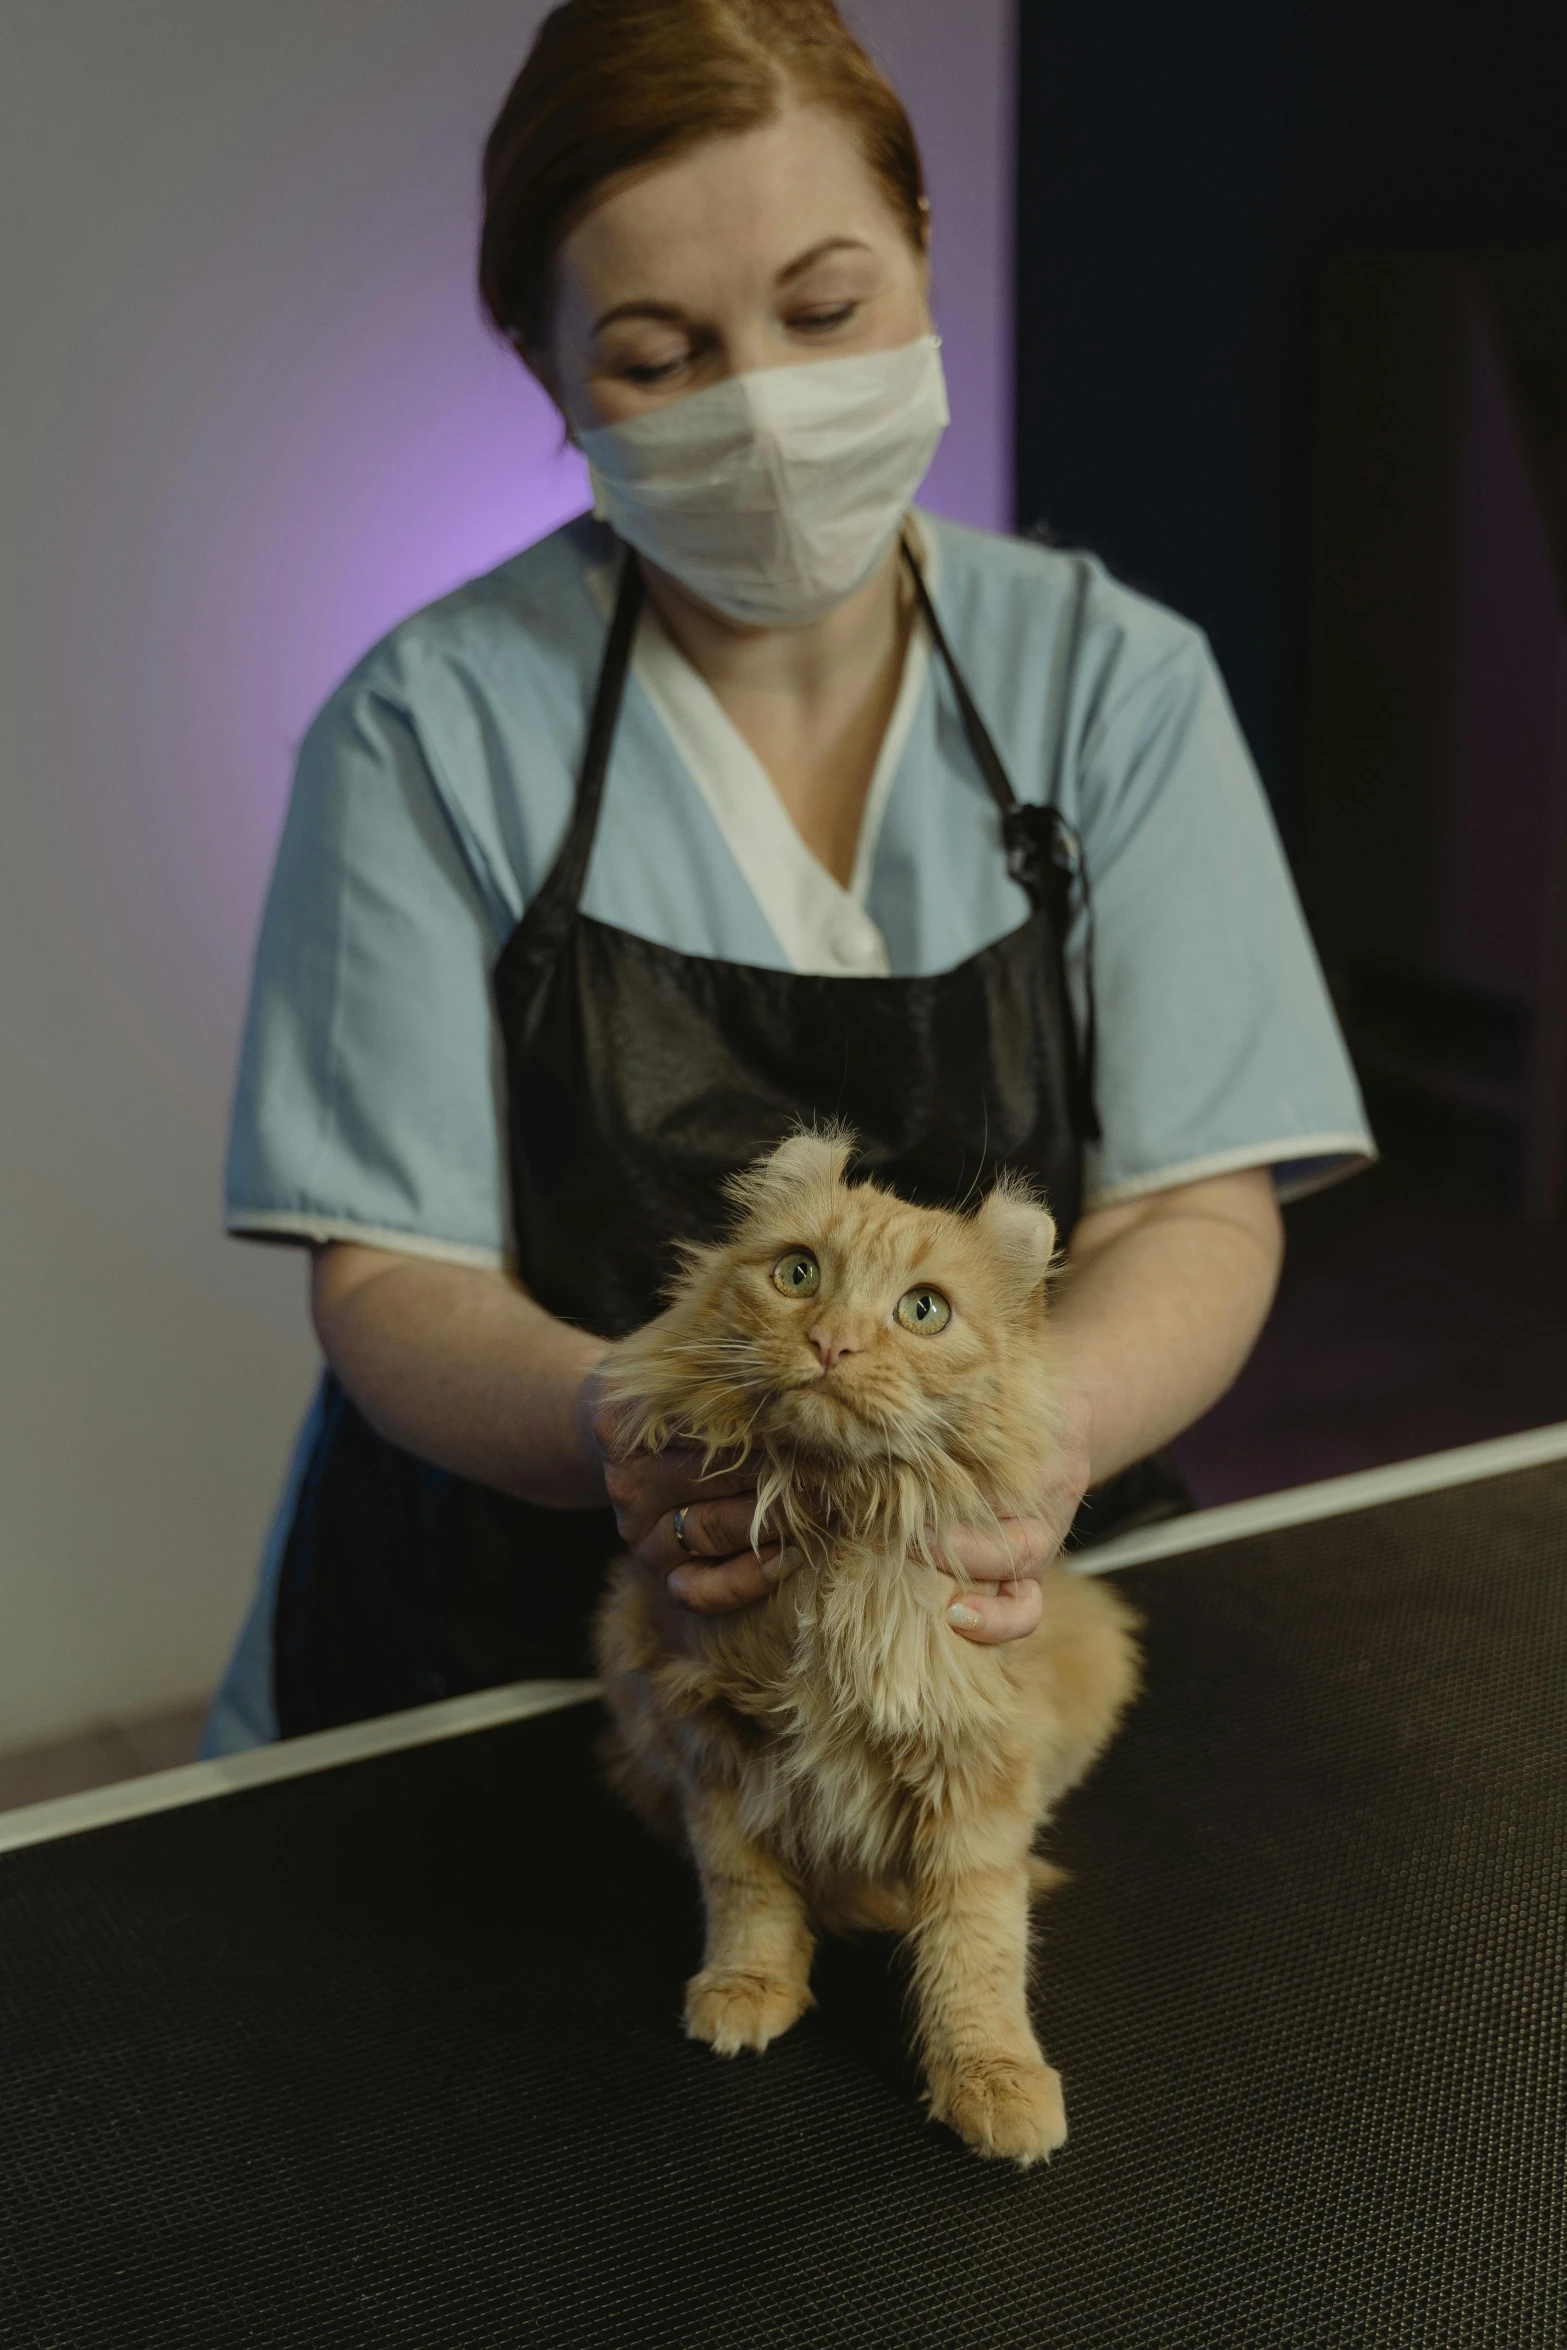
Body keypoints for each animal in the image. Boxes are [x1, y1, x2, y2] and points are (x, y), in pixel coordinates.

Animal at [594, 1132, 1132, 2162]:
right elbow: (745, 1889)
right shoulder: (709, 1739)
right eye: (797, 1274)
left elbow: (975, 1942)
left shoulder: (975, 1768)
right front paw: (750, 1984)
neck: (834, 1523)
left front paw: (991, 2076)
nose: (832, 1343)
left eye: (922, 1310)